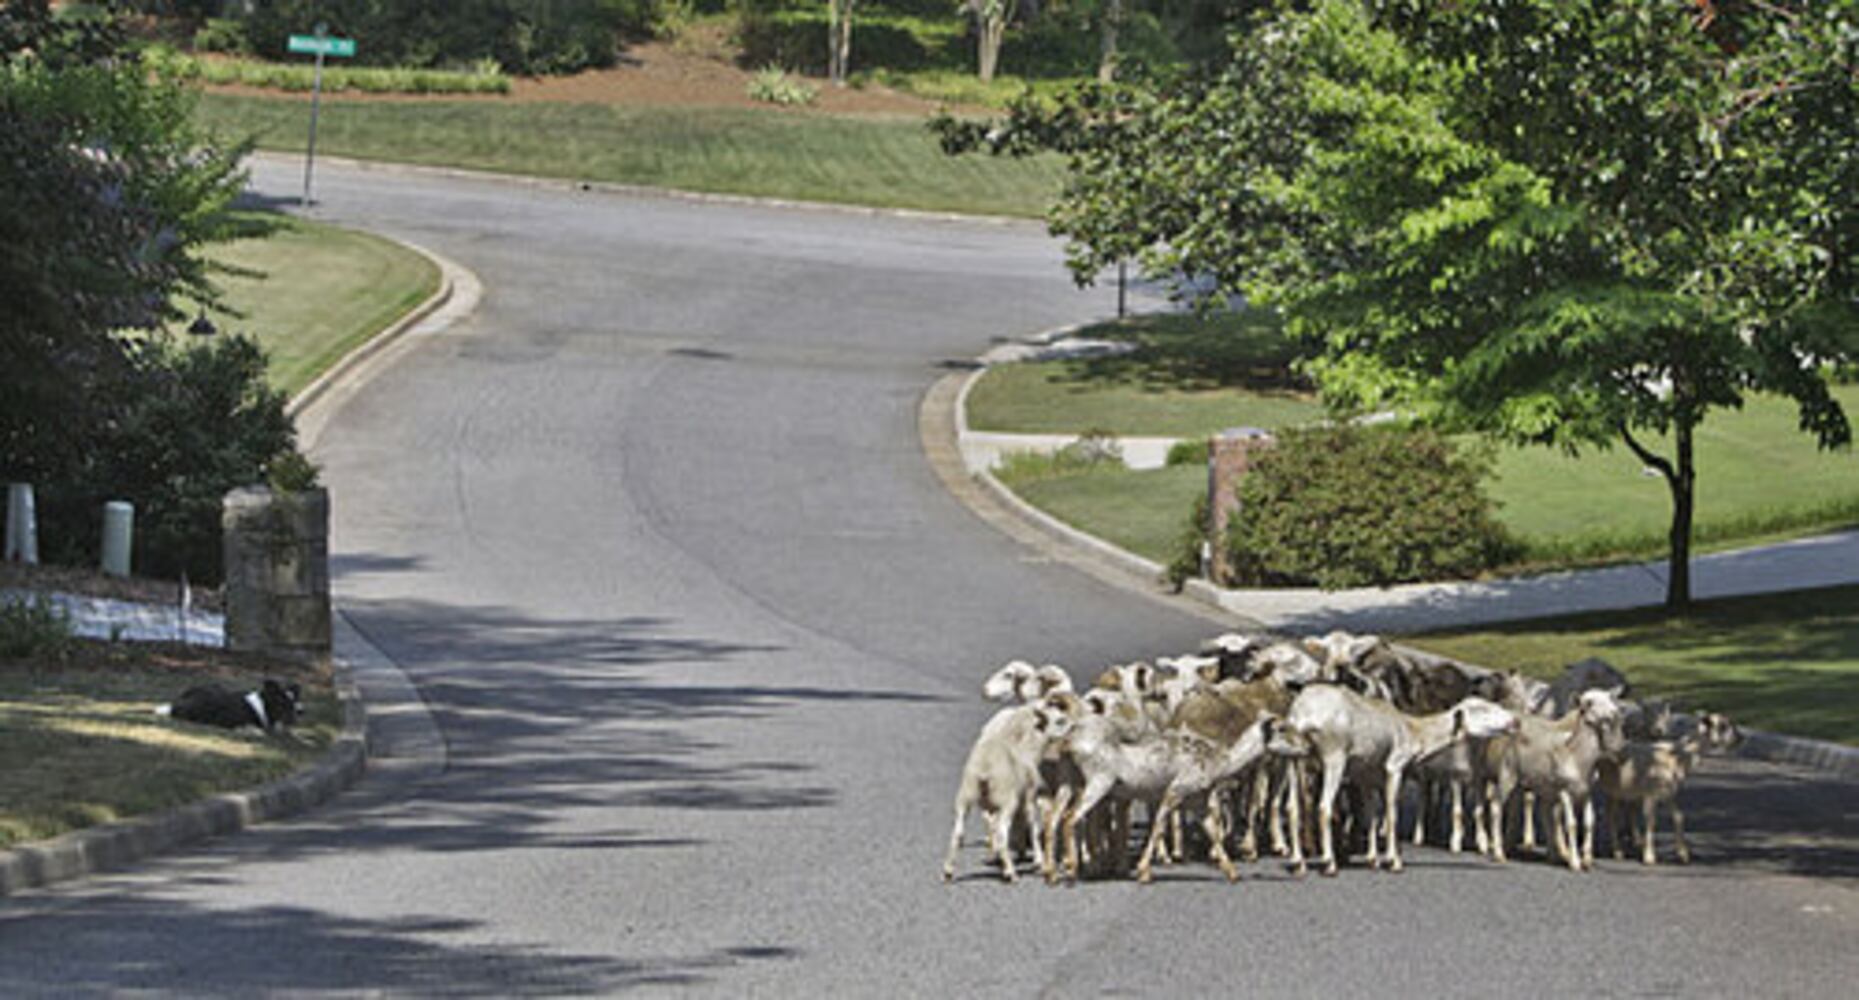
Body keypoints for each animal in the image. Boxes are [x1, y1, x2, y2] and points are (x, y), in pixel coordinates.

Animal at [942, 693, 1079, 883]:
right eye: (1060, 721)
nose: (1074, 727)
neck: (1029, 749)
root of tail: (984, 768)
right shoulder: (1029, 796)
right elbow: (1033, 826)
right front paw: (1038, 860)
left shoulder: (995, 806)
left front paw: (1003, 857)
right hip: (1006, 799)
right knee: (1001, 833)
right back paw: (1011, 873)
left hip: (965, 796)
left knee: (958, 834)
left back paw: (948, 871)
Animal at [1281, 685, 1518, 876]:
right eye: (1482, 709)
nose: (1515, 720)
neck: (1414, 732)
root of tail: (1301, 715)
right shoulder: (1395, 767)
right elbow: (1392, 813)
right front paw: (1393, 861)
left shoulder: (1366, 775)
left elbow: (1372, 816)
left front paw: (1373, 859)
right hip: (1334, 756)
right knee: (1323, 807)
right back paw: (1329, 863)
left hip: (1294, 757)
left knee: (1293, 808)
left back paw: (1298, 863)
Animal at [1478, 689, 1627, 871]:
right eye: (1589, 703)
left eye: (1610, 699)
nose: (1615, 712)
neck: (1577, 757)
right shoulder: (1564, 791)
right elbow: (1571, 824)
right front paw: (1575, 862)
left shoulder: (1586, 792)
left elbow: (1589, 822)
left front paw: (1587, 861)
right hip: (1507, 776)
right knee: (1495, 806)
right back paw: (1498, 853)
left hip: (1522, 785)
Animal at [1598, 712, 1742, 865]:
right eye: (1722, 726)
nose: (1740, 738)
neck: (1677, 757)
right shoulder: (1651, 793)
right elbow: (1651, 820)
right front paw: (1649, 856)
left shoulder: (1669, 793)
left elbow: (1678, 817)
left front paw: (1683, 854)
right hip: (1613, 791)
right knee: (1612, 818)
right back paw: (1617, 851)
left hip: (1624, 791)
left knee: (1624, 813)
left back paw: (1633, 843)